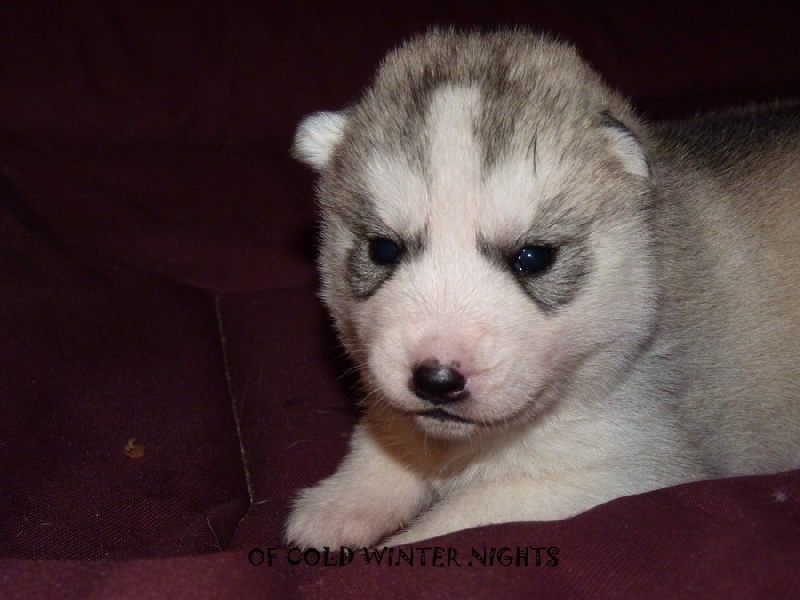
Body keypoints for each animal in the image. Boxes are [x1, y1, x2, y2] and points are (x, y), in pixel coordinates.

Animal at [286, 29, 800, 548]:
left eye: (533, 257)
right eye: (383, 249)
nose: (436, 379)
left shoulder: (615, 471)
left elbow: (454, 523)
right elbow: (386, 443)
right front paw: (337, 506)